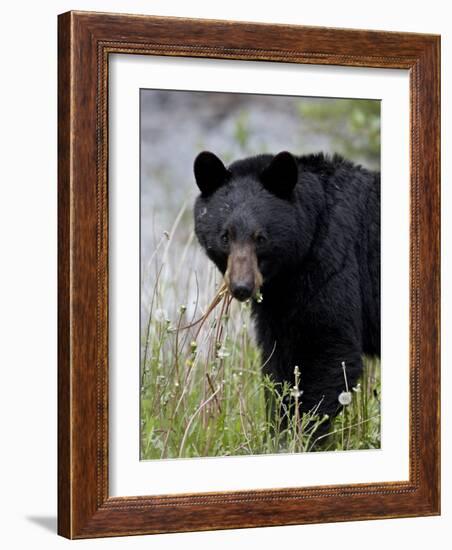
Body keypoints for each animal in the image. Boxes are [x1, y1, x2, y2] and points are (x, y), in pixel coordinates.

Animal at [192, 153, 380, 424]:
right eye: (225, 236)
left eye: (261, 238)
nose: (241, 287)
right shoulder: (279, 300)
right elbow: (279, 360)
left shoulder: (331, 266)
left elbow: (328, 349)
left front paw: (302, 428)